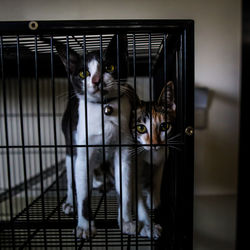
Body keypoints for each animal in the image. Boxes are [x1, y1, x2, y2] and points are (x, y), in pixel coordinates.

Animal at [49, 35, 137, 240]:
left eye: (110, 67)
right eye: (84, 73)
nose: (96, 80)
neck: (104, 108)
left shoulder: (125, 150)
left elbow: (125, 188)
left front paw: (126, 221)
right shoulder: (82, 154)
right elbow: (83, 194)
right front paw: (84, 226)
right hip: (70, 147)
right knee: (72, 179)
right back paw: (70, 203)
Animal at [131, 81, 176, 239]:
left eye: (164, 126)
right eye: (141, 128)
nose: (155, 144)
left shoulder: (164, 155)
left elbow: (157, 177)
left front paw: (154, 199)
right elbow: (138, 200)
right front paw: (149, 227)